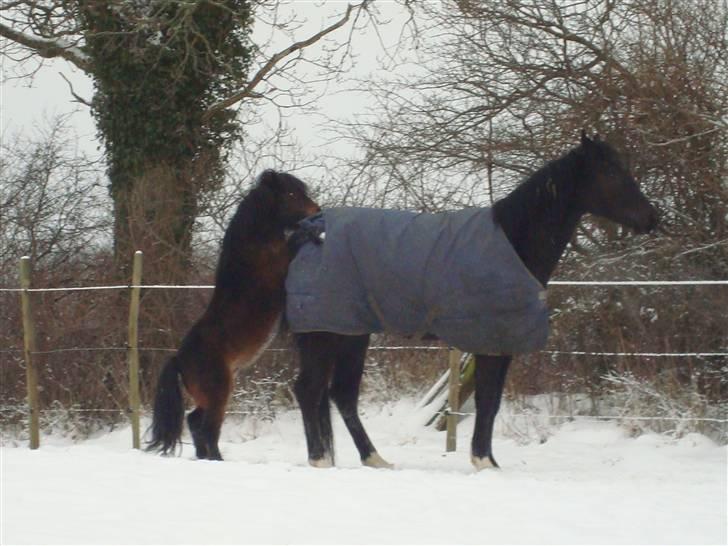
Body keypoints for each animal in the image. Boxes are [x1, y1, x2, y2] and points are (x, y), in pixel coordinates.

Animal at [147, 170, 318, 460]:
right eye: (291, 193)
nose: (316, 211)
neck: (254, 247)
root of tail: (179, 360)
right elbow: (296, 242)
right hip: (219, 393)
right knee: (207, 429)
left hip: (208, 396)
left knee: (194, 422)